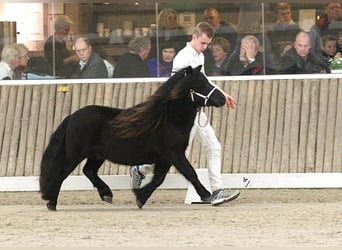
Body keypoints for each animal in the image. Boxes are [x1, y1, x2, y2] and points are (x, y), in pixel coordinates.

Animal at [40, 65, 226, 210]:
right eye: (201, 83)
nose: (223, 99)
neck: (167, 118)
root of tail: (72, 116)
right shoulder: (174, 154)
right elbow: (190, 173)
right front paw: (207, 195)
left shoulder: (165, 158)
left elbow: (158, 179)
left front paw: (140, 197)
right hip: (75, 154)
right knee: (61, 173)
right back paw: (51, 203)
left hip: (96, 155)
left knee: (89, 171)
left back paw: (106, 194)